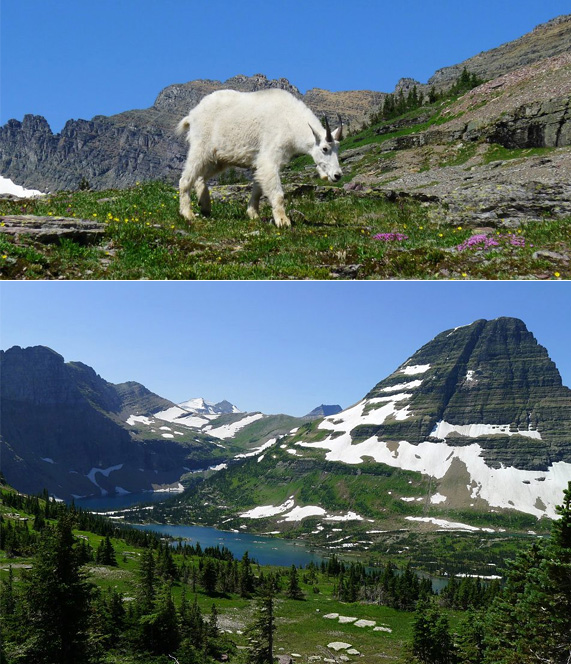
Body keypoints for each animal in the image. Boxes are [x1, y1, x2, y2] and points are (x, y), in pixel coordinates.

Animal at [177, 89, 342, 227]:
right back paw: (188, 214)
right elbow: (277, 193)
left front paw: (253, 214)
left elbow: (258, 189)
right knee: (186, 178)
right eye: (325, 148)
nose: (337, 175)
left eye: (338, 148)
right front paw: (283, 221)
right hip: (200, 148)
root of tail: (192, 115)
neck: (290, 122)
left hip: (219, 158)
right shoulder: (269, 157)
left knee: (200, 178)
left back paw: (205, 206)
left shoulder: (259, 165)